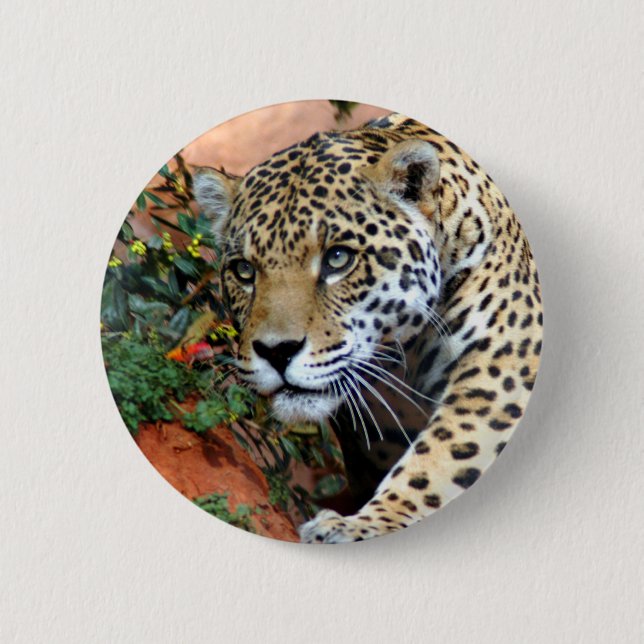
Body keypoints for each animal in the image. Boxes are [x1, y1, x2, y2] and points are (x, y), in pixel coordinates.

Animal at [192, 113, 543, 543]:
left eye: (338, 258)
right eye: (244, 270)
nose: (277, 352)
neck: (401, 354)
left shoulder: (497, 376)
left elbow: (438, 461)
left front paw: (363, 524)